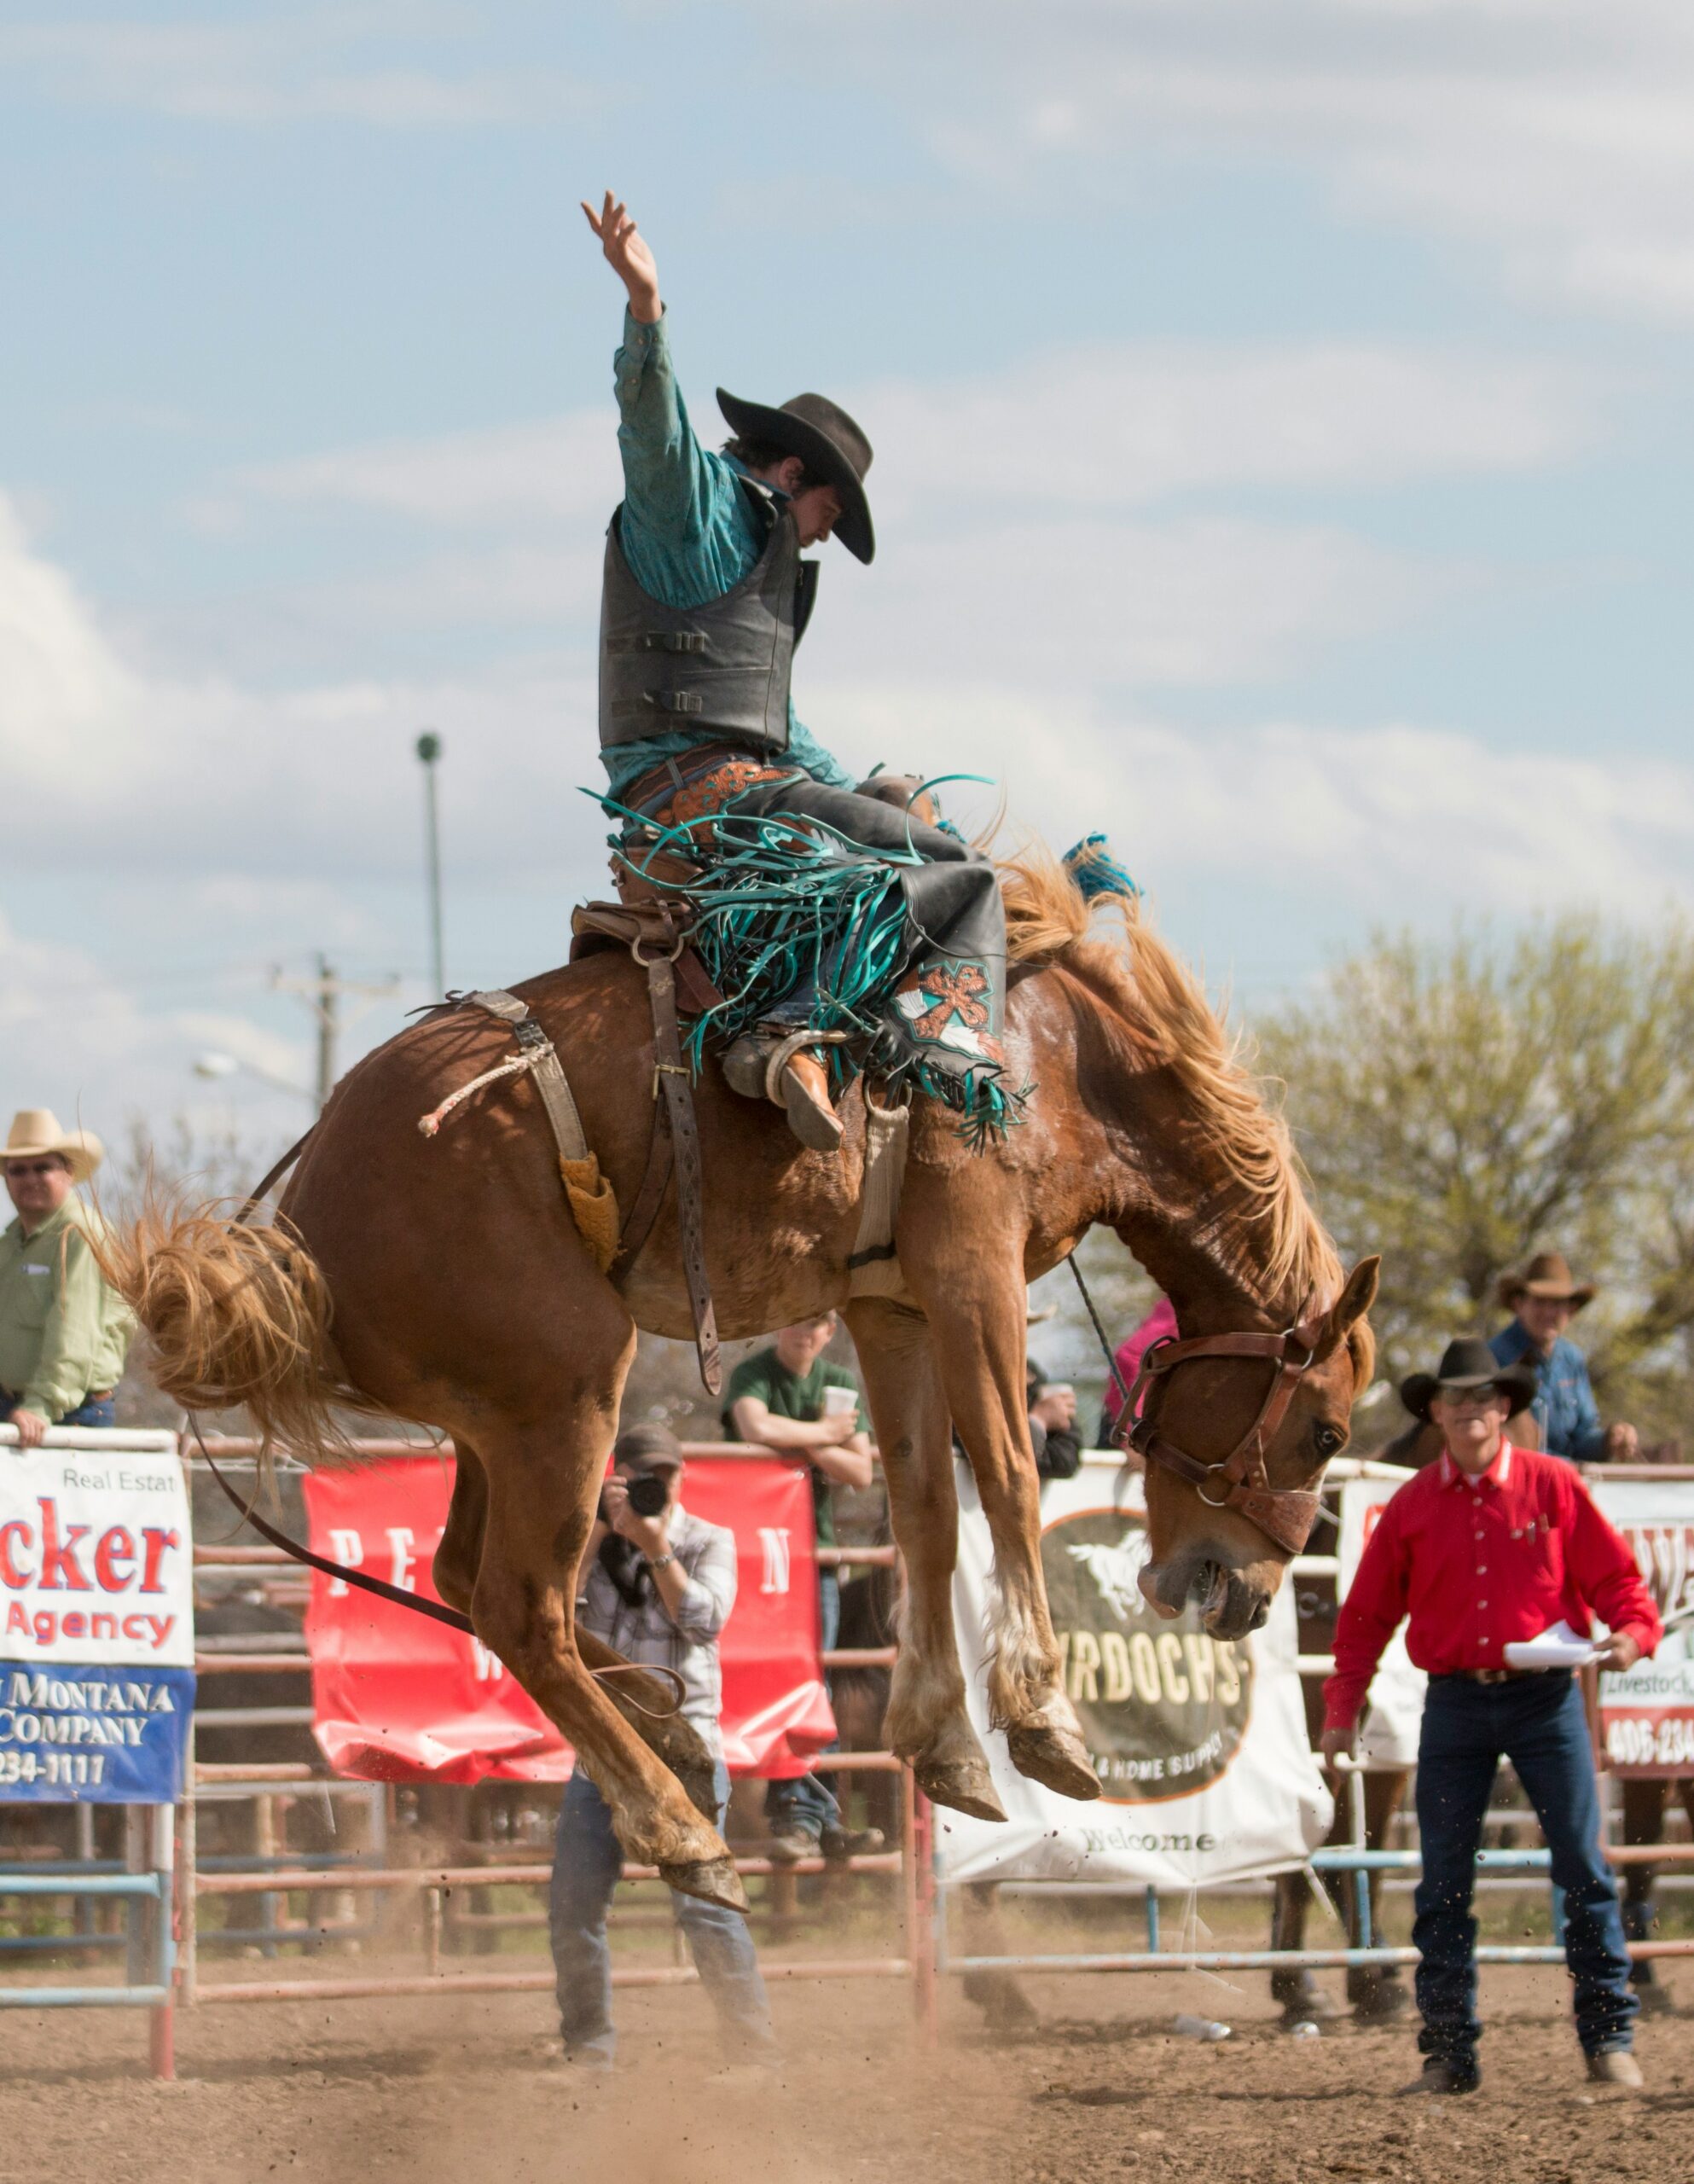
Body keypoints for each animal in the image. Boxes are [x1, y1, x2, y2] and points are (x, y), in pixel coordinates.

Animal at [102, 851, 1379, 1913]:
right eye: (1323, 1433)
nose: (1249, 1595)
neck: (1062, 1059)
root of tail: (301, 1225)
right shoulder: (971, 1266)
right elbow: (1007, 1474)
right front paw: (1044, 1722)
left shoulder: (891, 1300)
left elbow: (925, 1507)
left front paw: (946, 1743)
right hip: (570, 1376)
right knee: (518, 1602)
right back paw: (681, 1830)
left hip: (495, 1415)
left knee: (468, 1574)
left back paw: (666, 1717)